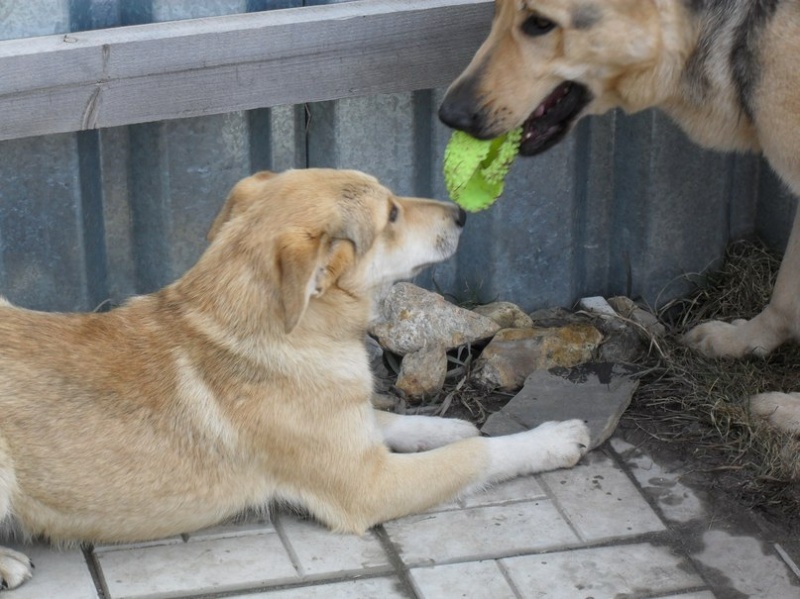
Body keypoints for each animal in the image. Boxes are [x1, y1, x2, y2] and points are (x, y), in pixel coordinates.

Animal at [0, 168, 590, 590]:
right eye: (392, 214)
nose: (463, 212)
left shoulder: (348, 428)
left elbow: (390, 420)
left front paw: (446, 427)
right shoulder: (368, 487)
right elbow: (474, 456)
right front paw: (553, 439)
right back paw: (9, 564)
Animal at [439, 0, 800, 435]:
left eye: (540, 24)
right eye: (496, 12)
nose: (448, 115)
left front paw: (790, 410)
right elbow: (785, 295)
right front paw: (744, 341)